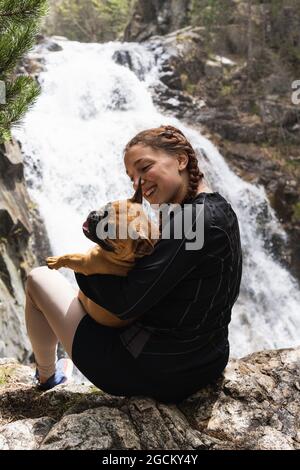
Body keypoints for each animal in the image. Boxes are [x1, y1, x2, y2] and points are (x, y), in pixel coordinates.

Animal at [45, 178, 159, 328]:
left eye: (107, 229)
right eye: (107, 205)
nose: (94, 217)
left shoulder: (84, 263)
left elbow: (69, 256)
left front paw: (55, 261)